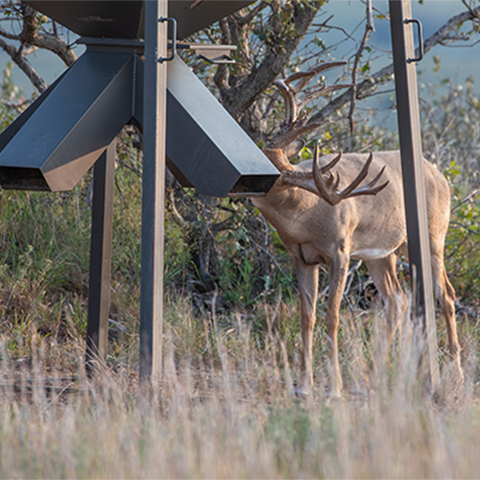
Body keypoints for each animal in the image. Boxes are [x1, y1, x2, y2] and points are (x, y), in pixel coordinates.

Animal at [251, 61, 462, 398]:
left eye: (271, 172)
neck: (307, 212)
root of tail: (439, 173)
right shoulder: (302, 258)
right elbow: (307, 316)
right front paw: (304, 386)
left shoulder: (340, 252)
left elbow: (332, 316)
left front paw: (334, 388)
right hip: (382, 254)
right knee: (397, 301)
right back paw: (372, 380)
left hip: (433, 237)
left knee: (447, 294)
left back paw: (455, 376)